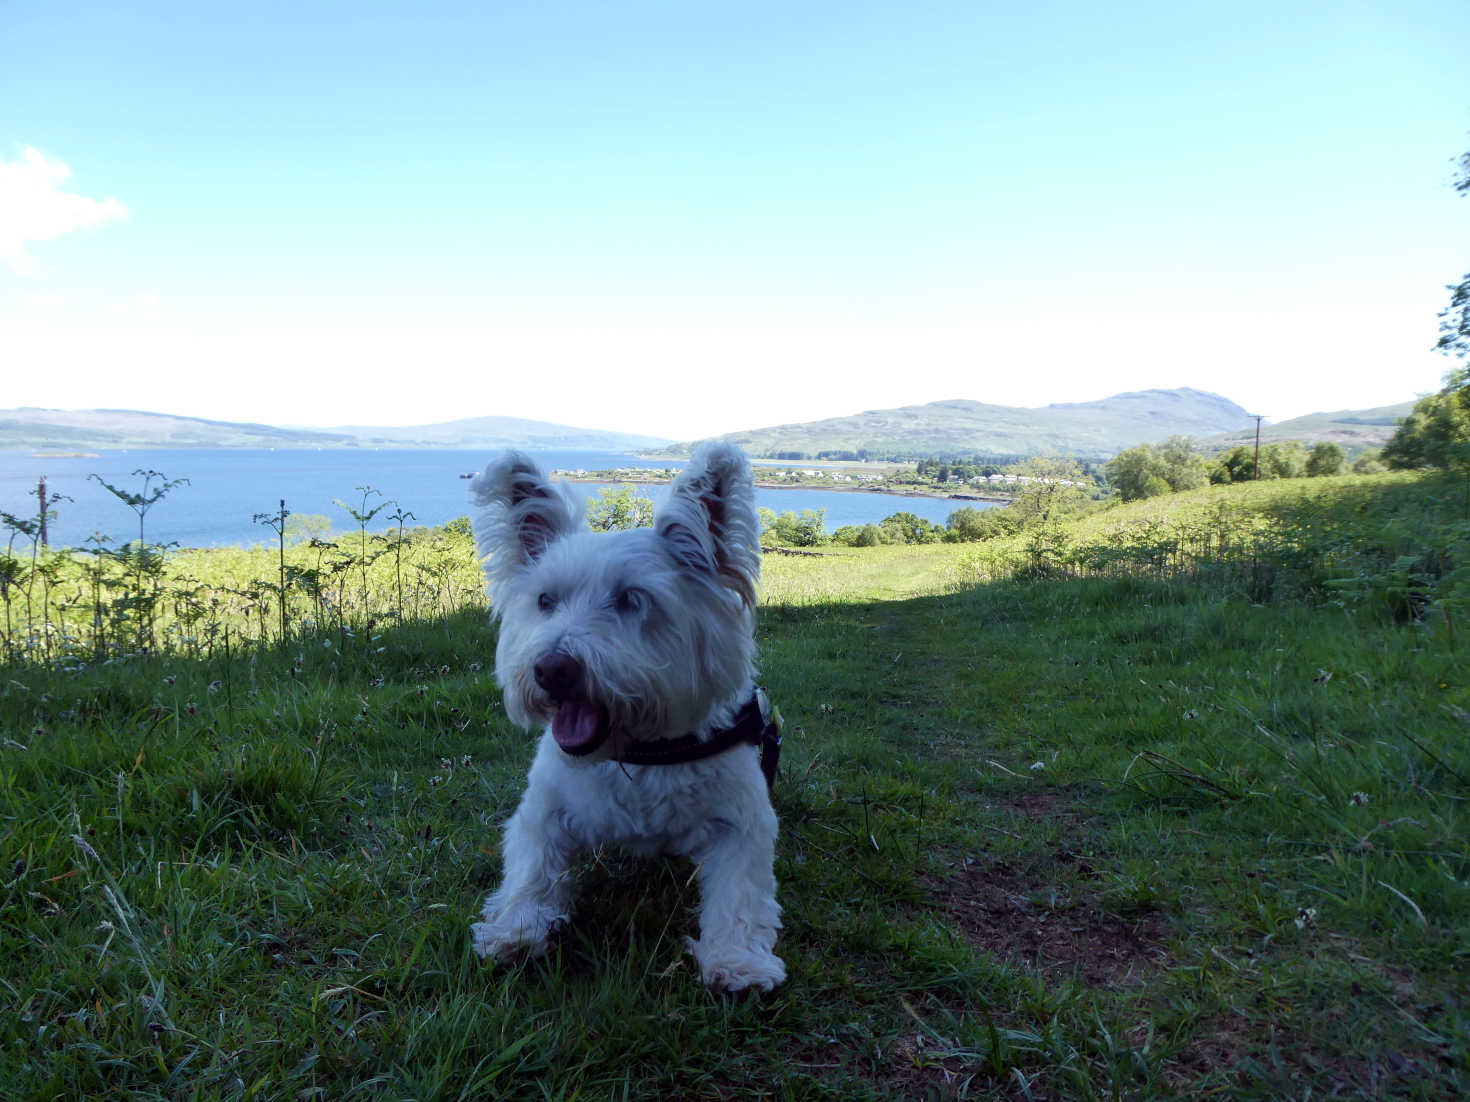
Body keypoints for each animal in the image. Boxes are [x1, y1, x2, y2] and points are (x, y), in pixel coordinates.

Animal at [467, 443, 793, 999]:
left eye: (630, 599)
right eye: (545, 600)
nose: (550, 669)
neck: (638, 751)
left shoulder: (743, 821)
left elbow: (741, 894)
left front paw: (739, 962)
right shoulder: (542, 811)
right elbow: (532, 871)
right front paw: (514, 930)